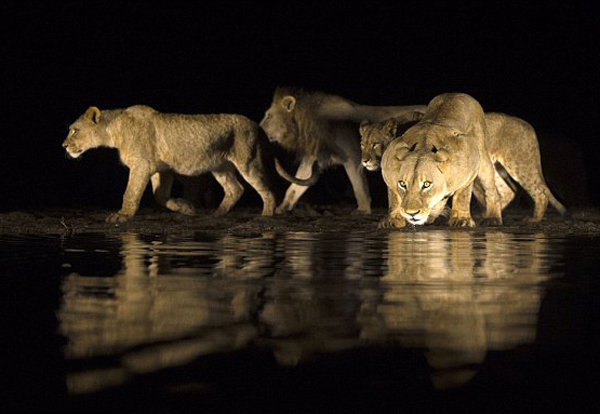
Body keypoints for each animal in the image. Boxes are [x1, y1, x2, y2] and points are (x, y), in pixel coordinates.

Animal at [62, 106, 318, 223]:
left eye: (74, 130)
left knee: (266, 188)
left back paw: (266, 216)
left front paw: (122, 215)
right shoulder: (161, 169)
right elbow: (160, 196)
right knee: (235, 189)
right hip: (220, 166)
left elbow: (131, 192)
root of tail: (257, 125)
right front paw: (186, 207)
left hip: (248, 160)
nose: (63, 145)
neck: (113, 130)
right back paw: (216, 214)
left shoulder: (141, 165)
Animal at [380, 92, 502, 228]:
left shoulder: (471, 158)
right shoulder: (388, 165)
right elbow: (394, 197)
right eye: (402, 184)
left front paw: (461, 219)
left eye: (426, 184)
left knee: (492, 190)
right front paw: (392, 220)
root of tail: (455, 93)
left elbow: (462, 195)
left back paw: (492, 218)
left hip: (483, 157)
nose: (412, 213)